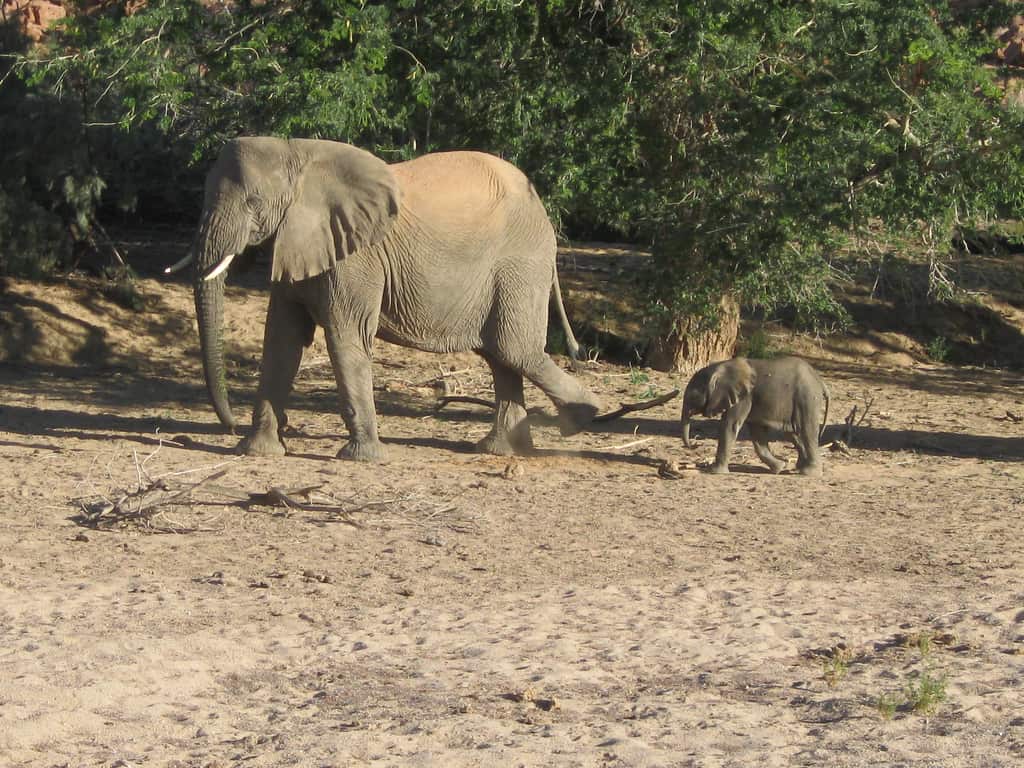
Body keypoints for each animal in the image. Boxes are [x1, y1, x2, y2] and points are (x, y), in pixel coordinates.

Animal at [174, 137, 601, 462]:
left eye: (253, 203)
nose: (228, 425)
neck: (296, 151)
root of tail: (542, 208)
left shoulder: (356, 256)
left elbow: (344, 337)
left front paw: (361, 458)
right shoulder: (299, 242)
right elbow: (282, 338)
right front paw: (257, 451)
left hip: (519, 264)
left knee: (515, 348)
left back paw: (582, 419)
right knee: (501, 355)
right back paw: (502, 450)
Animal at [681, 356, 830, 475]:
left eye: (692, 396)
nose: (694, 444)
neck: (720, 367)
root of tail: (820, 381)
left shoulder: (744, 397)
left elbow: (730, 425)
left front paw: (713, 471)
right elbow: (757, 433)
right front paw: (779, 468)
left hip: (807, 397)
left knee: (806, 430)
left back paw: (809, 473)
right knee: (792, 433)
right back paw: (799, 468)